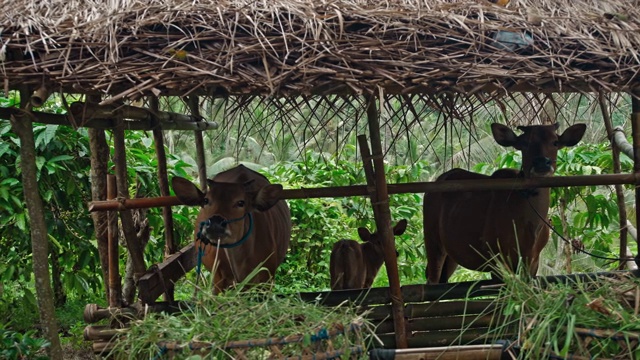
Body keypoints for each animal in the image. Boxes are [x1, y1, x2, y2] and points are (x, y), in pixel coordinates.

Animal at [424, 124, 584, 284]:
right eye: (524, 143)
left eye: (555, 142)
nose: (541, 163)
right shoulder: (496, 260)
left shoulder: (532, 262)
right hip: (433, 243)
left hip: (451, 257)